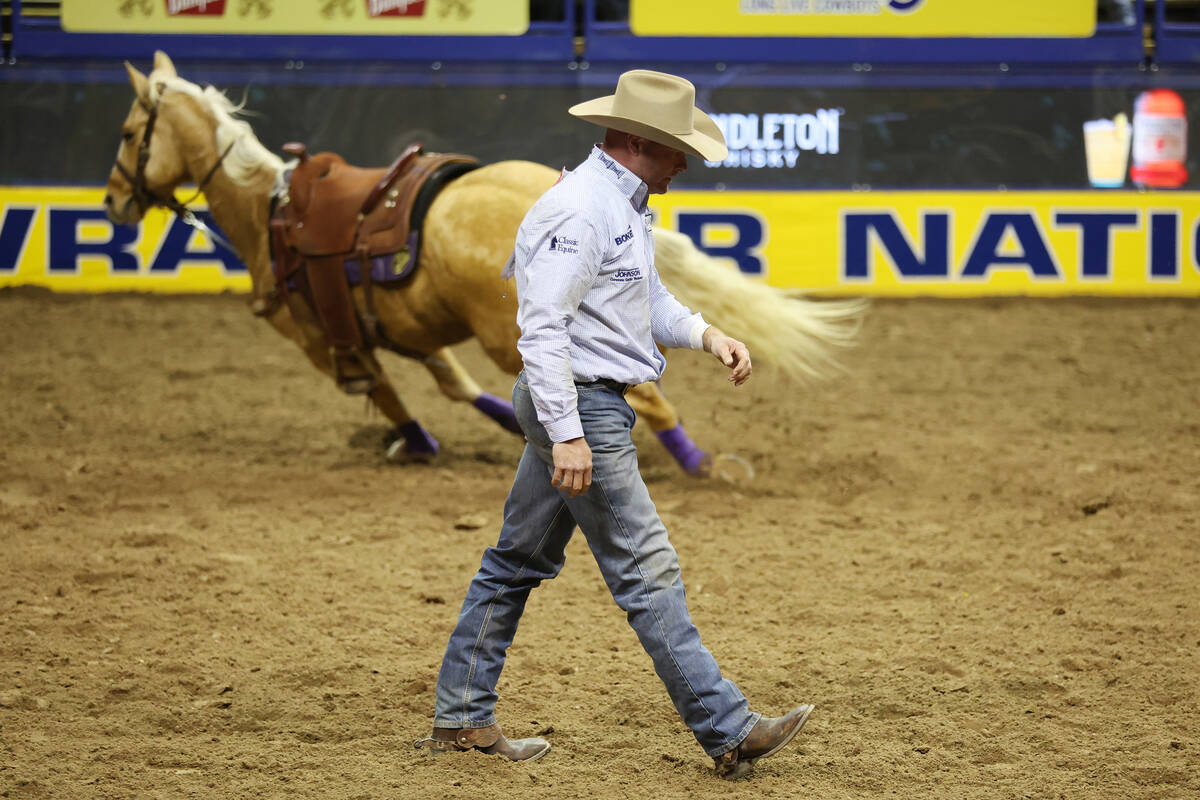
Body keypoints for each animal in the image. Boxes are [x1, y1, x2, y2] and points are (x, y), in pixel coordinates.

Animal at [105, 53, 864, 474]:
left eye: (128, 131)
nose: (113, 200)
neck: (272, 215)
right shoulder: (401, 332)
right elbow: (451, 384)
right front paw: (495, 428)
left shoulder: (320, 339)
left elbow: (390, 391)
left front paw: (418, 444)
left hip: (507, 334)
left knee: (645, 395)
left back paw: (702, 466)